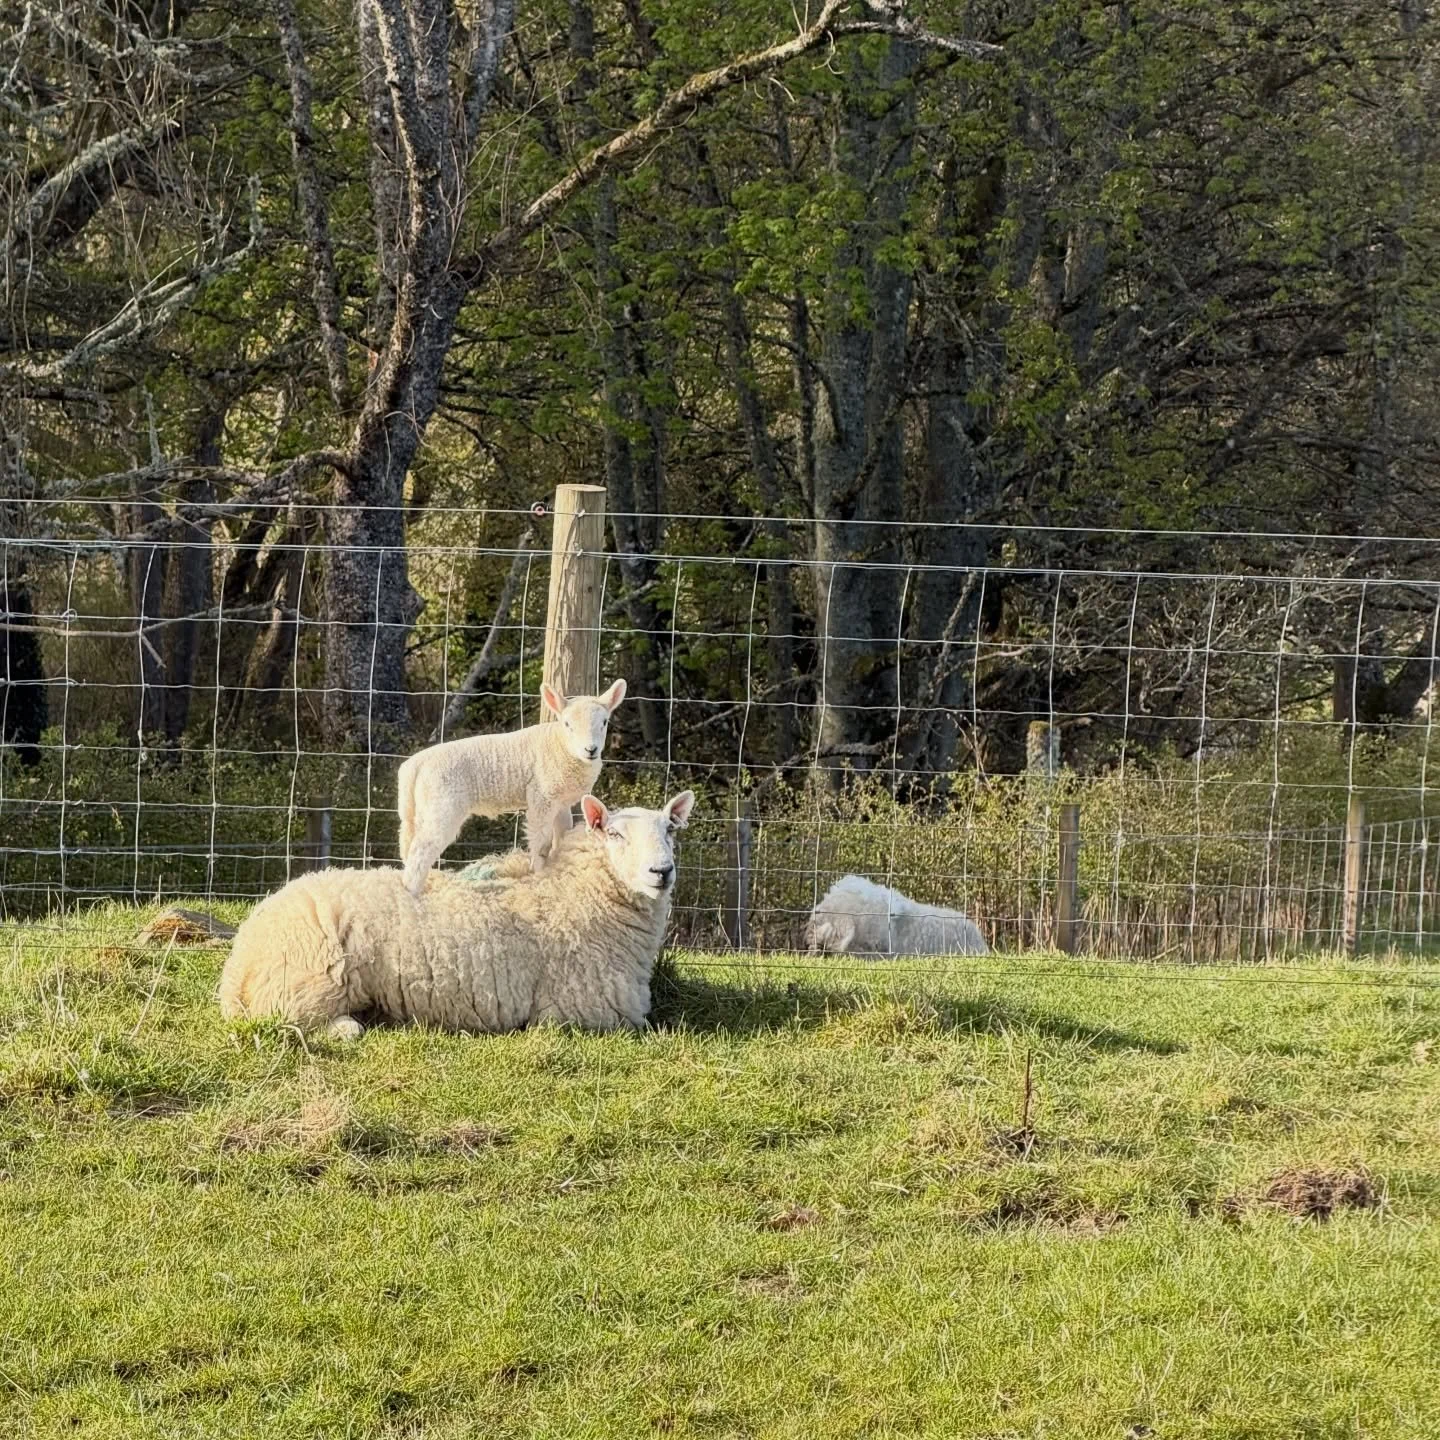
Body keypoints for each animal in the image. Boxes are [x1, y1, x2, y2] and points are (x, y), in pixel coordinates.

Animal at [218, 788, 696, 1039]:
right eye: (614, 834)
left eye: (670, 831)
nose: (661, 872)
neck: (573, 894)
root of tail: (237, 966)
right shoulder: (581, 1015)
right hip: (307, 980)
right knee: (293, 1018)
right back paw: (348, 1027)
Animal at [396, 679, 627, 896]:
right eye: (567, 724)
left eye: (604, 722)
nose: (591, 749)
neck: (560, 746)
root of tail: (414, 765)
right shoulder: (542, 797)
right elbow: (541, 841)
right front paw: (540, 873)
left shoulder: (561, 801)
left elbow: (562, 835)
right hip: (442, 803)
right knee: (421, 851)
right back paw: (412, 893)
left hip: (419, 808)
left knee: (409, 845)